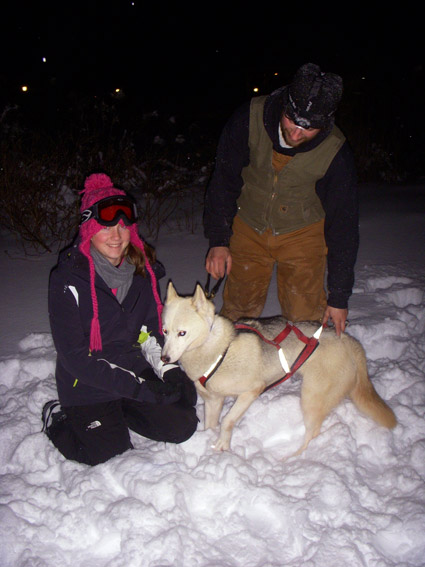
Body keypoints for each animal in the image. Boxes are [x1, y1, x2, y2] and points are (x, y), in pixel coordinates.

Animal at [161, 284, 396, 458]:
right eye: (165, 331)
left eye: (182, 333)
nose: (164, 359)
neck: (218, 350)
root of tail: (348, 340)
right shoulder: (213, 401)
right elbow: (211, 425)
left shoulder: (252, 391)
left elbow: (228, 421)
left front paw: (222, 446)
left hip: (310, 399)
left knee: (312, 434)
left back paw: (292, 459)